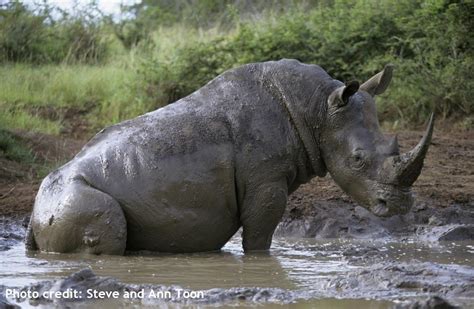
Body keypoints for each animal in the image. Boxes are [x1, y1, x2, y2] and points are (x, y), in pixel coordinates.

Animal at [25, 59, 434, 254]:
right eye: (358, 159)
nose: (399, 205)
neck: (318, 109)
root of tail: (35, 211)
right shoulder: (266, 180)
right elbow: (259, 236)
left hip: (58, 201)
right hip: (77, 199)